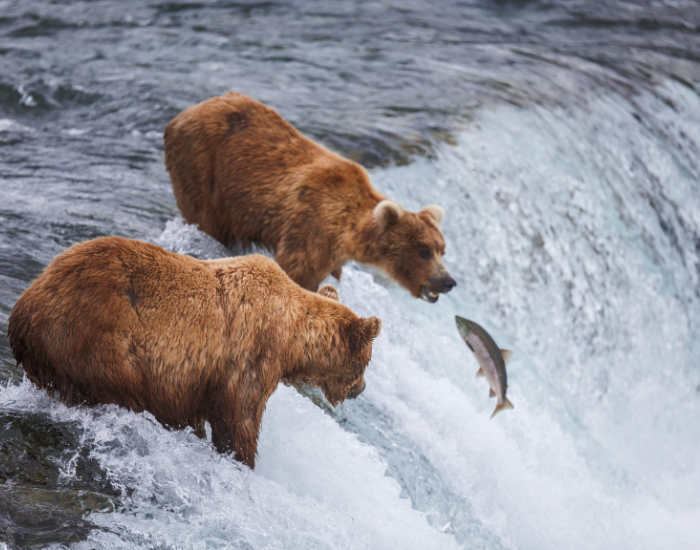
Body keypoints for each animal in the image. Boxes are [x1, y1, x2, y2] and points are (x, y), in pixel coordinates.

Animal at [7, 237, 381, 469]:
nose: (361, 389)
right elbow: (239, 419)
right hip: (97, 342)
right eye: (366, 360)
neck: (292, 339)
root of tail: (23, 309)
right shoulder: (250, 355)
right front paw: (242, 459)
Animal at [164, 92, 457, 303]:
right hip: (203, 169)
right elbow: (298, 272)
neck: (347, 233)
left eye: (441, 249)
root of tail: (184, 113)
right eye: (423, 251)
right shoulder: (311, 230)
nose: (448, 281)